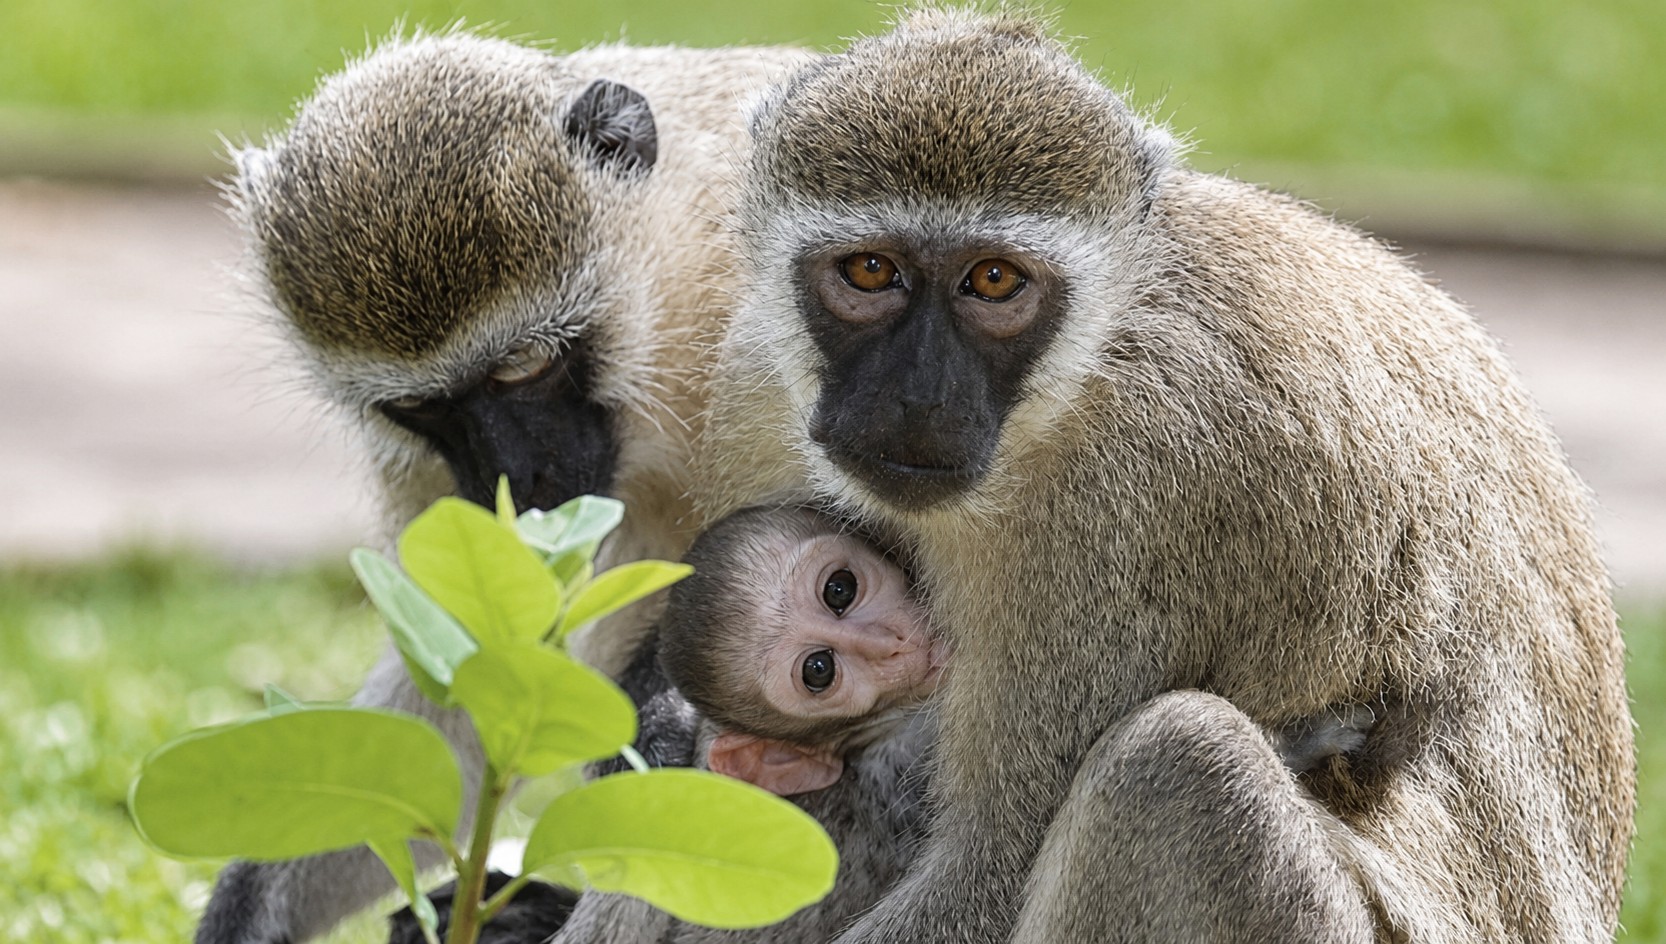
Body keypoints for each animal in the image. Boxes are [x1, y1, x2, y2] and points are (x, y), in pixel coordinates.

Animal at [693, 9, 1634, 942]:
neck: (1085, 369)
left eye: (994, 280)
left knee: (1182, 763)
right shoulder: (753, 382)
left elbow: (991, 870)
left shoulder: (1130, 500)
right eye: (870, 270)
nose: (918, 398)